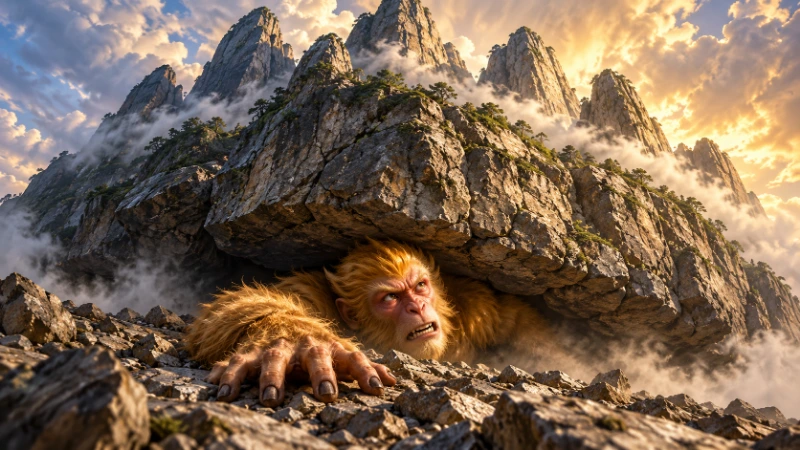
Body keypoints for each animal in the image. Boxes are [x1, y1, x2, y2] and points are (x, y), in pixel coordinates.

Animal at [184, 239, 554, 408]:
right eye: (390, 297)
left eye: (421, 285)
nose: (418, 306)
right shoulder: (307, 289)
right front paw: (292, 338)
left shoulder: (477, 305)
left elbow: (517, 320)